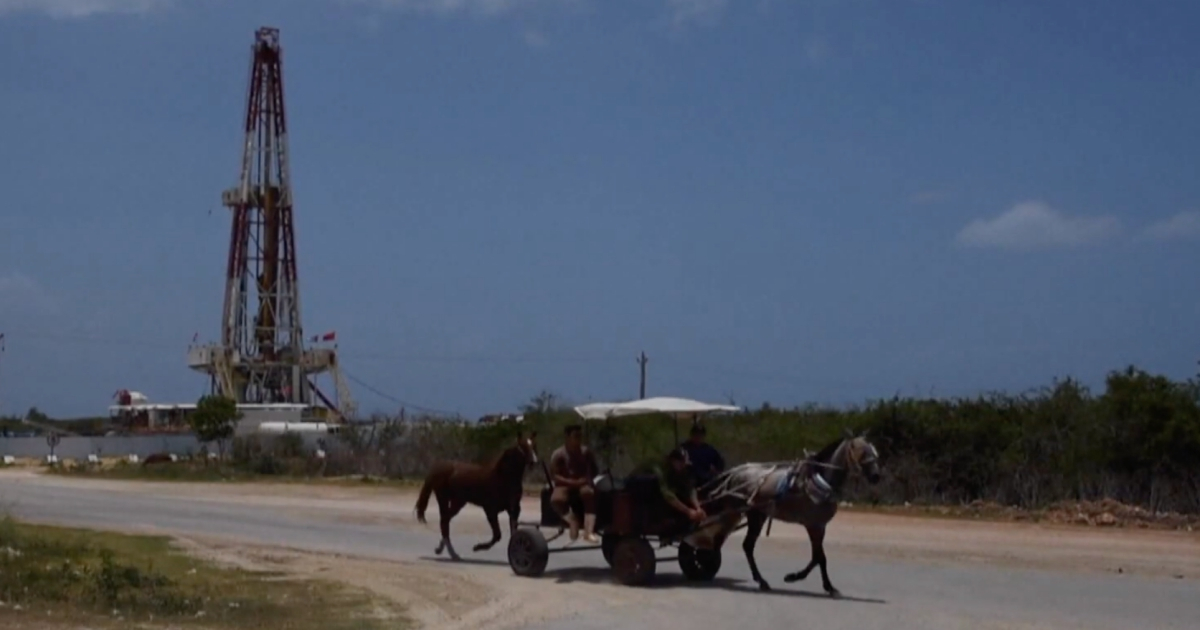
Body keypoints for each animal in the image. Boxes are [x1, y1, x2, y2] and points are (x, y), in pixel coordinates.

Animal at [700, 429, 883, 597]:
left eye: (874, 451)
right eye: (862, 450)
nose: (876, 476)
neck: (819, 480)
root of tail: (734, 473)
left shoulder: (820, 525)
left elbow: (818, 557)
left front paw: (821, 584)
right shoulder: (813, 525)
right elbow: (819, 557)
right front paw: (799, 578)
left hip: (755, 515)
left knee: (743, 545)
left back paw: (757, 579)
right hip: (742, 513)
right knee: (729, 541)